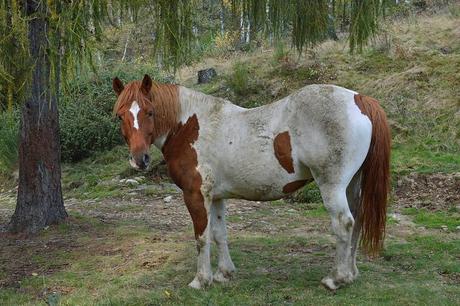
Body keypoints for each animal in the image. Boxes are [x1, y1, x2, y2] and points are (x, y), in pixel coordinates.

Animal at [113, 73, 390, 290]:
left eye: (150, 112)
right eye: (120, 116)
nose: (139, 159)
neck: (188, 127)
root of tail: (359, 99)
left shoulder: (196, 195)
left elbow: (201, 237)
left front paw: (201, 280)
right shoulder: (216, 196)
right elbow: (219, 233)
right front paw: (224, 274)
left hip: (332, 186)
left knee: (344, 224)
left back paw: (336, 279)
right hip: (352, 185)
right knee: (357, 222)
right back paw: (351, 275)